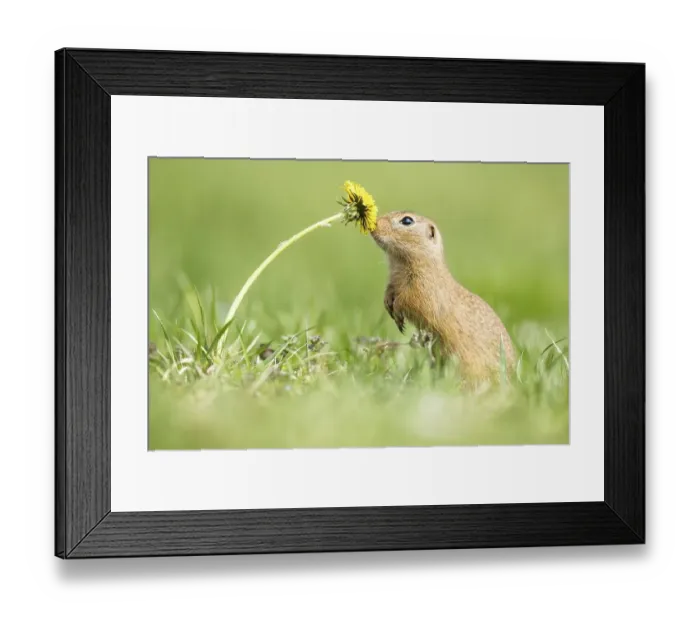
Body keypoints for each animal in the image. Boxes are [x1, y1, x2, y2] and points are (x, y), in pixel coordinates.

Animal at [371, 211, 516, 384]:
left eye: (407, 220)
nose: (373, 225)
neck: (400, 263)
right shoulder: (393, 281)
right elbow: (389, 292)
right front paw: (389, 306)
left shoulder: (424, 288)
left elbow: (411, 301)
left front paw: (399, 313)